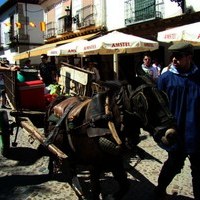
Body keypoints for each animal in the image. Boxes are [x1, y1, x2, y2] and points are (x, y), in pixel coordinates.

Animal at [42, 75, 177, 200]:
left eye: (165, 96)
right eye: (142, 102)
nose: (171, 133)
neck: (106, 122)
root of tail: (58, 99)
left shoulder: (115, 161)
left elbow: (125, 185)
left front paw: (111, 196)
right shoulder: (94, 166)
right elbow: (96, 191)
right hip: (52, 140)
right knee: (51, 152)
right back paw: (53, 170)